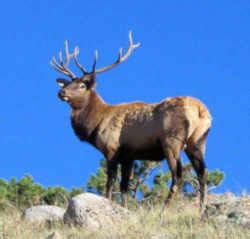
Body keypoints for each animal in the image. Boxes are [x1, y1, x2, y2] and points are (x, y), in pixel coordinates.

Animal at [51, 31, 212, 211]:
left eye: (82, 86)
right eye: (69, 82)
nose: (61, 92)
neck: (96, 125)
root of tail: (200, 110)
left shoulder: (112, 149)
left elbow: (110, 183)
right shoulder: (129, 156)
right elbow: (124, 187)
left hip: (172, 141)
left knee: (178, 174)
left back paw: (164, 210)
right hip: (198, 141)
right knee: (202, 173)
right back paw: (201, 210)